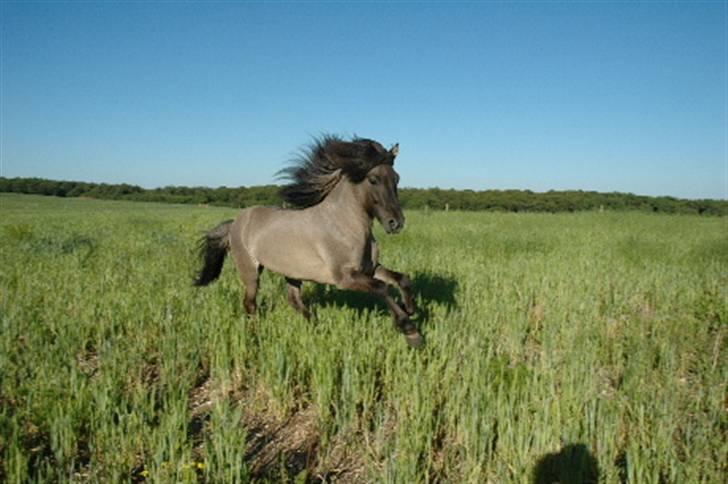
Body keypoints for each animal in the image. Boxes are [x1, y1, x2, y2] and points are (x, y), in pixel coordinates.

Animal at [193, 135, 424, 348]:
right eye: (373, 179)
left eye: (396, 179)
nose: (396, 223)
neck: (344, 224)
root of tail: (235, 223)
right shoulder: (344, 277)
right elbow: (382, 288)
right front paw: (410, 330)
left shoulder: (370, 268)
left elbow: (402, 279)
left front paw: (410, 308)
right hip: (250, 271)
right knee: (250, 304)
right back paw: (255, 336)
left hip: (292, 273)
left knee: (294, 301)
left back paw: (316, 328)